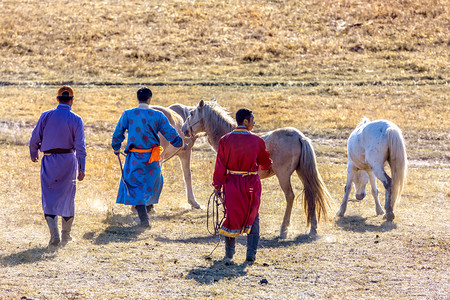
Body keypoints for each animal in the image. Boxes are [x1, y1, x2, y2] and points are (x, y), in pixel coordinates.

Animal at [181, 99, 332, 238]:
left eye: (192, 113)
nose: (183, 130)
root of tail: (300, 137)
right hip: (302, 173)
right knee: (311, 194)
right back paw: (313, 228)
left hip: (283, 176)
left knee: (290, 196)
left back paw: (284, 229)